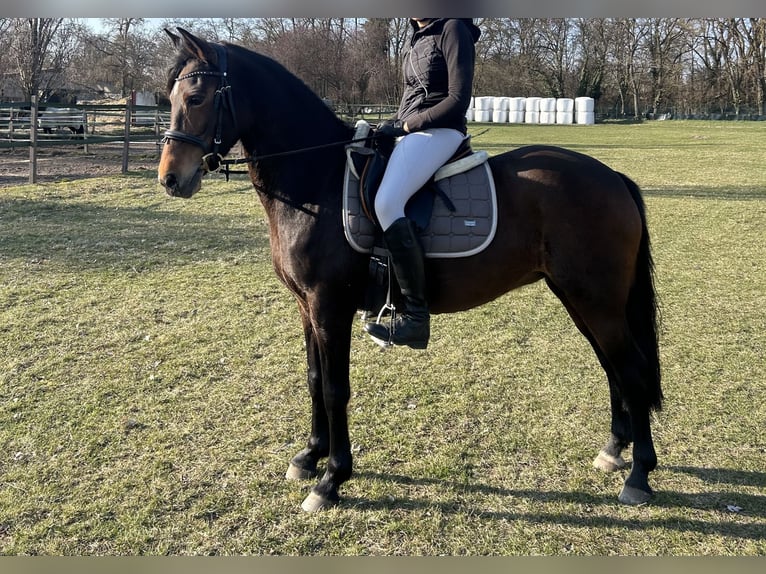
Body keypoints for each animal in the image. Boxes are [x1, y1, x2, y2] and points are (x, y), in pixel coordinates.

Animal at [158, 28, 663, 512]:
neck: (315, 180)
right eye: (170, 98)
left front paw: (331, 479)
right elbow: (315, 380)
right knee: (611, 366)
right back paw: (613, 450)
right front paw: (308, 457)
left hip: (596, 300)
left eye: (197, 98)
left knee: (632, 370)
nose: (170, 179)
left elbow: (336, 388)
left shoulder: (330, 307)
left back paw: (639, 476)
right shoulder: (306, 308)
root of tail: (612, 178)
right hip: (579, 297)